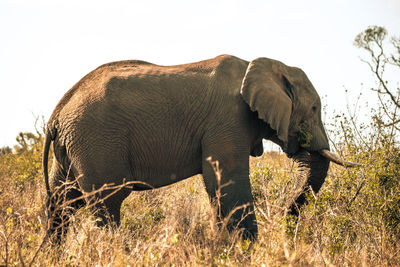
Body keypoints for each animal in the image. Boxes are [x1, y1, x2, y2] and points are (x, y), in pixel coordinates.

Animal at [43, 54, 356, 243]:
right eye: (314, 109)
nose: (282, 217)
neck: (263, 65)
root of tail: (58, 113)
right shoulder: (228, 119)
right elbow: (228, 183)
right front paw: (248, 250)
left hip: (73, 147)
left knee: (63, 202)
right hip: (95, 141)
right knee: (107, 204)